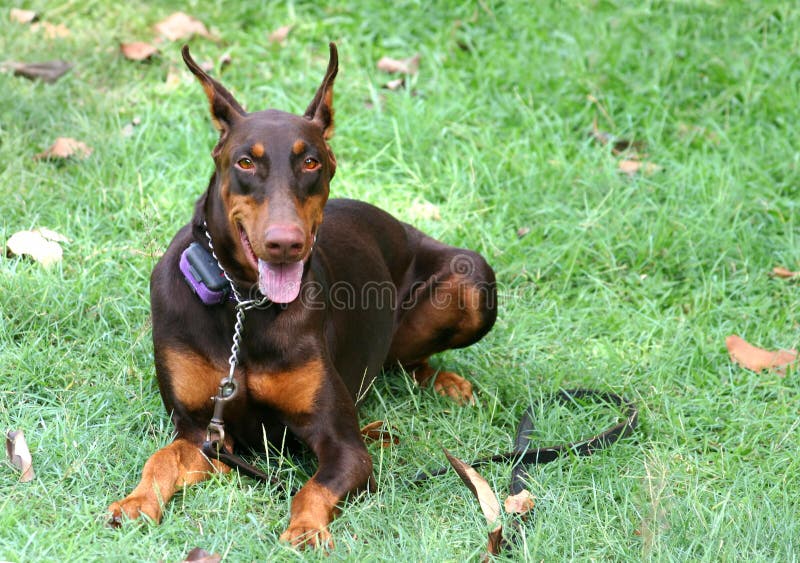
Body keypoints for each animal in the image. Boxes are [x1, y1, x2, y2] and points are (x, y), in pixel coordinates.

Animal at [106, 44, 494, 552]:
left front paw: (307, 528)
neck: (244, 304)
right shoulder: (204, 435)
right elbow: (163, 458)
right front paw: (135, 503)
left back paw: (438, 387)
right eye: (245, 163)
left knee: (408, 361)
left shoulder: (341, 445)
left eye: (310, 162)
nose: (284, 243)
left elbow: (315, 485)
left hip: (474, 276)